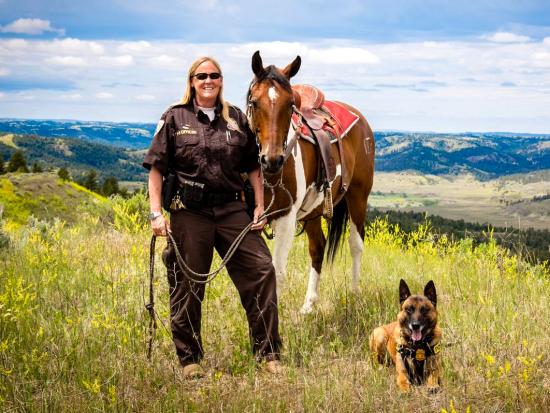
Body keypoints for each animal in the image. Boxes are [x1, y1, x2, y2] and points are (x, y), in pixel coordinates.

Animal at [248, 50, 378, 312]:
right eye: (255, 102)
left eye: (291, 105)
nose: (272, 160)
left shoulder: (286, 218)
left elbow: (277, 271)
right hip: (313, 212)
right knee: (318, 246)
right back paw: (309, 304)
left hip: (358, 197)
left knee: (356, 244)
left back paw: (354, 294)